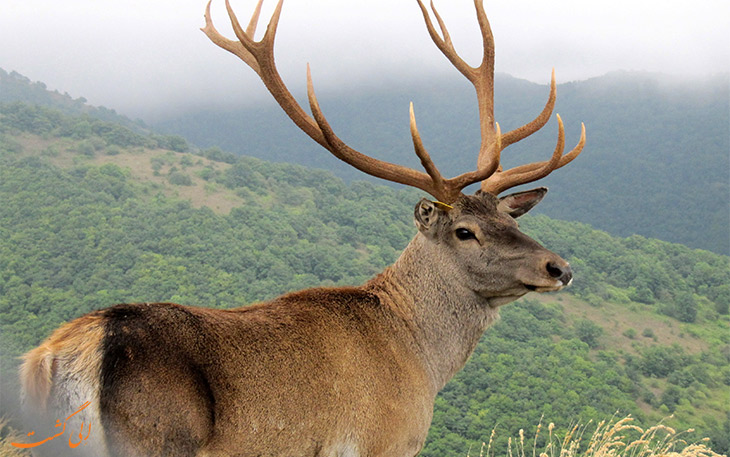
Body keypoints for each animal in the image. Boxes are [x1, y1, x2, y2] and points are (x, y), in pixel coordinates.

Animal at [17, 0, 584, 454]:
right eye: (465, 231)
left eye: (508, 216)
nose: (559, 267)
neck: (421, 360)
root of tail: (61, 357)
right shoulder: (379, 442)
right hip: (155, 438)